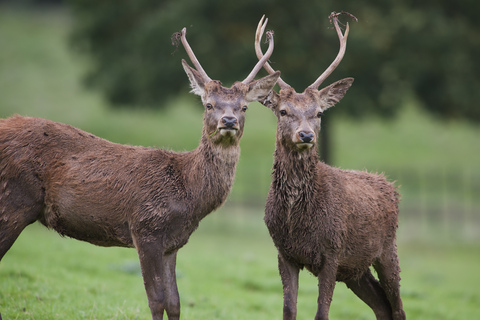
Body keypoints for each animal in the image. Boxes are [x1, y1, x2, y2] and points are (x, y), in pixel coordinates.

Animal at [0, 27, 280, 320]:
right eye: (209, 105)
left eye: (244, 107)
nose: (229, 121)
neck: (188, 194)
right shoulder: (145, 228)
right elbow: (156, 300)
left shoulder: (172, 244)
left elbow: (175, 303)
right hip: (15, 198)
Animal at [253, 12, 406, 320]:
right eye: (283, 111)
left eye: (319, 113)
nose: (306, 135)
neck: (298, 218)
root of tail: (390, 186)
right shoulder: (284, 252)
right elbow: (289, 309)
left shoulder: (332, 250)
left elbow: (321, 312)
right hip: (355, 270)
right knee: (382, 306)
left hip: (387, 249)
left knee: (397, 307)